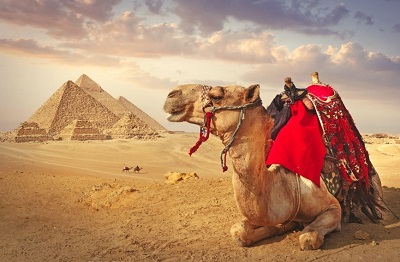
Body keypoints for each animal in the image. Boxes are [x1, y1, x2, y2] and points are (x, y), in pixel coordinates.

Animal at [163, 83, 384, 250]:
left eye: (216, 95)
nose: (171, 94)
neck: (285, 187)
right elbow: (239, 231)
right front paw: (275, 228)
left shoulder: (332, 208)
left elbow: (308, 238)